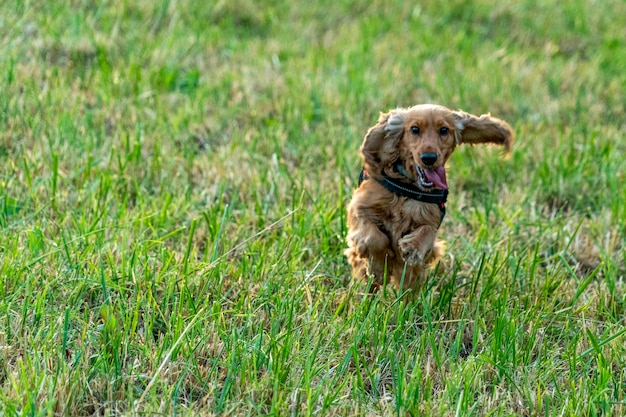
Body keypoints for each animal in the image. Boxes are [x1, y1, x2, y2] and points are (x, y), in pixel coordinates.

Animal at [342, 104, 512, 290]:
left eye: (444, 130)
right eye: (415, 129)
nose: (429, 158)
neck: (409, 187)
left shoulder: (432, 219)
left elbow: (427, 232)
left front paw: (412, 248)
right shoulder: (360, 207)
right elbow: (374, 238)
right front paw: (378, 269)